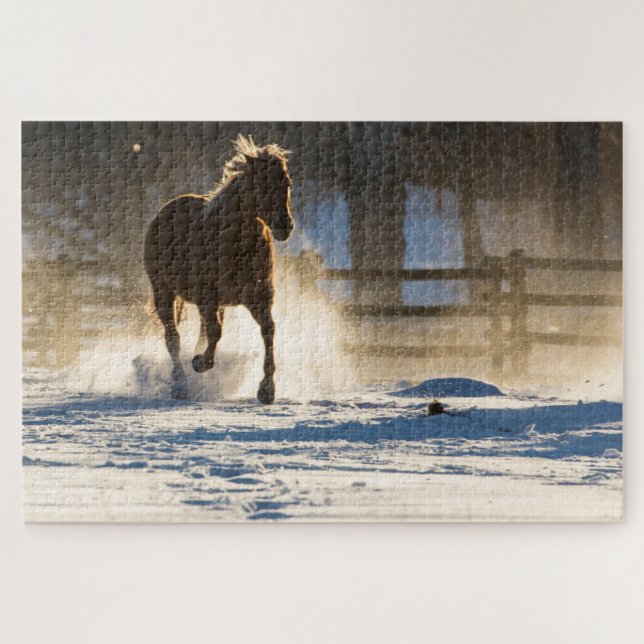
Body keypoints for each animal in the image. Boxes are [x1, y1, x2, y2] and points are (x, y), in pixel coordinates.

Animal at [144, 134, 294, 404]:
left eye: (286, 182)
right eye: (260, 185)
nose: (284, 226)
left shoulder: (259, 297)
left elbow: (268, 330)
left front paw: (267, 390)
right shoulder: (208, 298)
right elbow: (215, 333)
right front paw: (200, 363)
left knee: (200, 333)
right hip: (163, 292)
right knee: (173, 339)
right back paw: (180, 385)